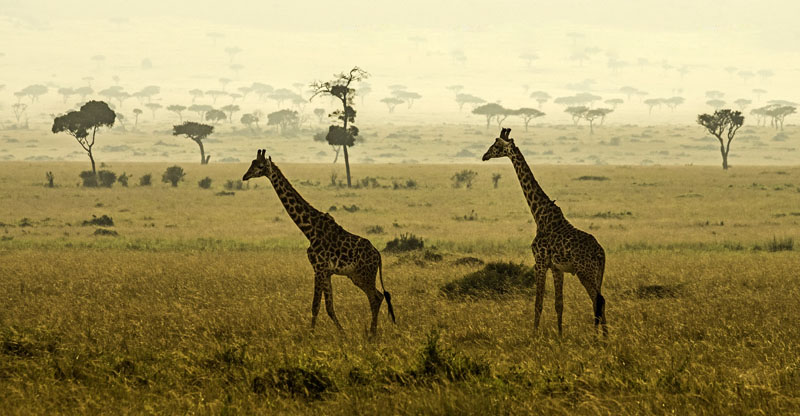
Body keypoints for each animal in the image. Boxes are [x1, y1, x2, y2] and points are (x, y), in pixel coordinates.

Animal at [241, 150, 396, 334]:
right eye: (251, 163)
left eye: (260, 166)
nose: (245, 176)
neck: (309, 230)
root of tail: (378, 255)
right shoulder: (326, 271)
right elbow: (329, 307)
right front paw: (342, 333)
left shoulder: (319, 268)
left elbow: (315, 306)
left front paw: (311, 334)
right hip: (356, 276)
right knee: (378, 296)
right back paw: (371, 332)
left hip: (364, 275)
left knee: (375, 297)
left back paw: (372, 334)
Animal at [482, 128, 608, 336]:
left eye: (497, 145)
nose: (484, 155)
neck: (540, 215)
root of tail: (601, 253)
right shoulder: (557, 268)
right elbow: (559, 304)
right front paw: (560, 335)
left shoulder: (539, 262)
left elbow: (538, 303)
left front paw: (534, 335)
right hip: (597, 274)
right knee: (598, 301)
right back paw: (604, 337)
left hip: (586, 272)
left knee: (599, 300)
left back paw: (600, 337)